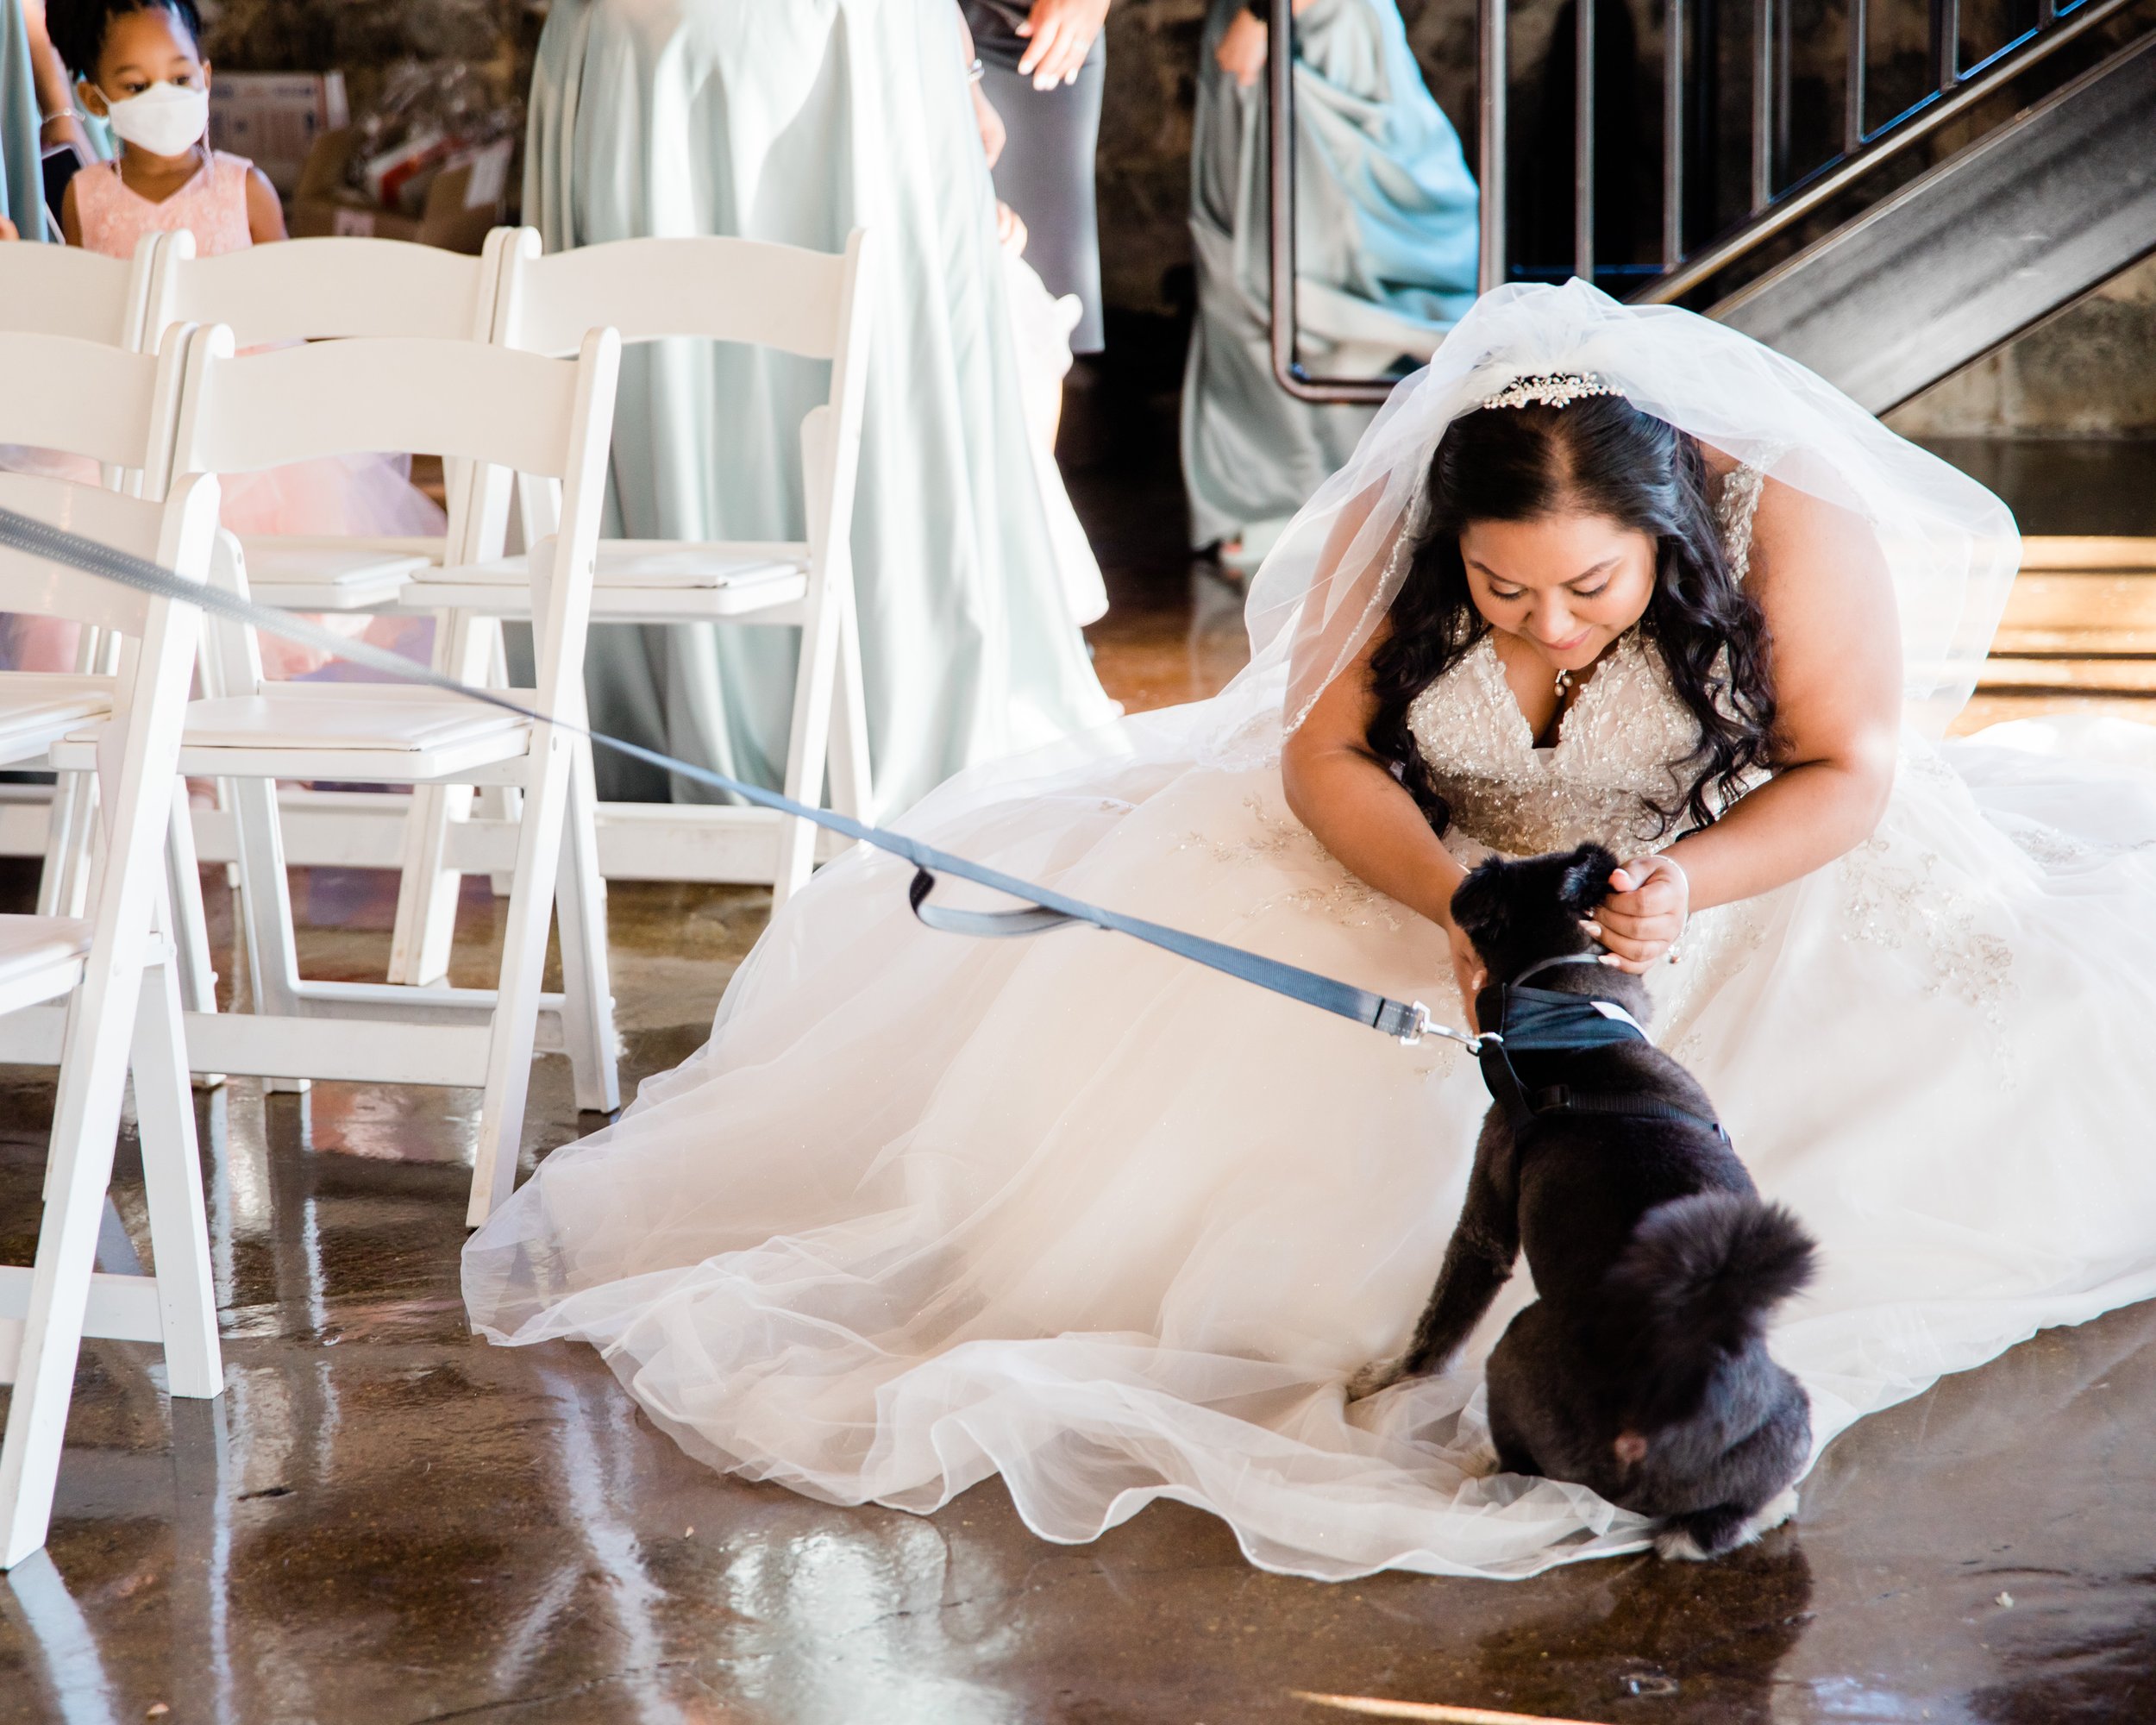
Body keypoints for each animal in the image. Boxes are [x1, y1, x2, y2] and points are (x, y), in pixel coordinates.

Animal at [1363, 841, 1820, 1552]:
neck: (1570, 1020)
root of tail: (1654, 1413)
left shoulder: (1484, 1224)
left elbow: (1437, 1327)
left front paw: (1385, 1384)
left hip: (1513, 1353)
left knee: (1525, 1464)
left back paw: (1480, 1463)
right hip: (1793, 1415)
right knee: (1719, 1523)